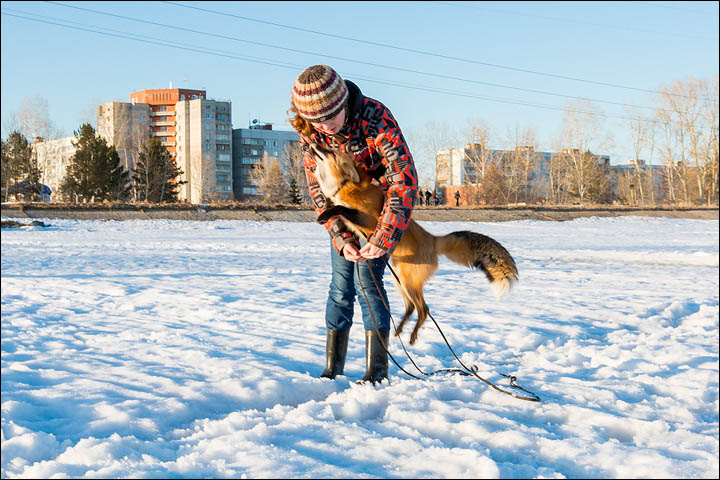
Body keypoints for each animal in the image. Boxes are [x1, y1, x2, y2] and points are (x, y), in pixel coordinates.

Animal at [310, 142, 516, 344]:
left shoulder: (369, 219)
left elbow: (342, 209)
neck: (344, 187)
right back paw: (399, 330)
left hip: (408, 282)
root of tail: (434, 240)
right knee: (411, 308)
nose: (312, 144)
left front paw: (325, 214)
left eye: (330, 152)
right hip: (399, 280)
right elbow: (339, 210)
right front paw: (327, 213)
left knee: (424, 309)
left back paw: (412, 337)